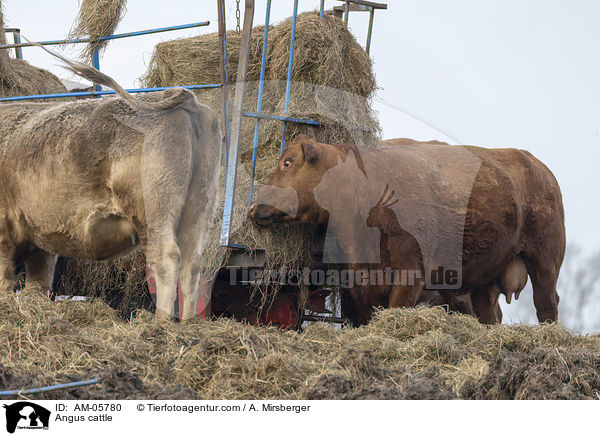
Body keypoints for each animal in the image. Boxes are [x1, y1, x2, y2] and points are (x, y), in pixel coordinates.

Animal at [250, 135, 568, 326]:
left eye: (287, 162)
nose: (253, 207)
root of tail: (537, 166)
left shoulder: (409, 276)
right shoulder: (357, 286)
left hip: (545, 262)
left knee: (547, 305)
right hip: (484, 284)